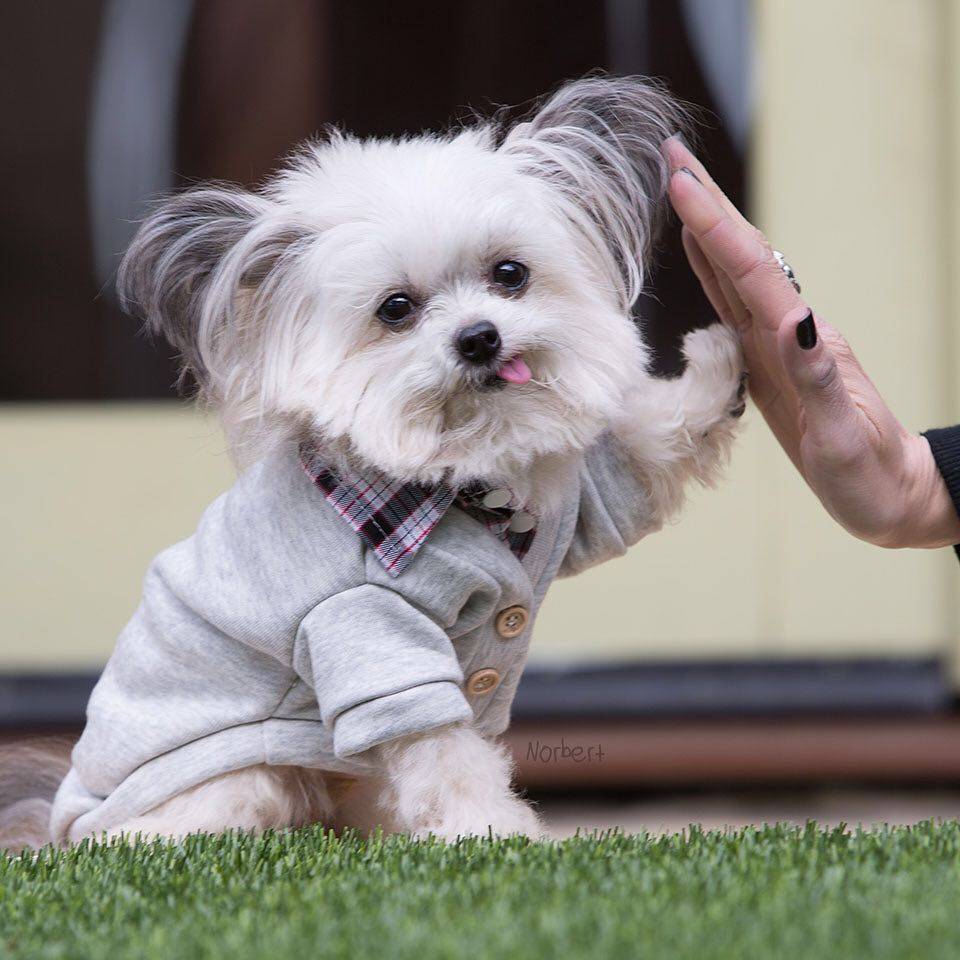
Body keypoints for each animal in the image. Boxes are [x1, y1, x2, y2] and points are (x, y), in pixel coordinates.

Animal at [0, 79, 748, 852]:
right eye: (396, 309)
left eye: (510, 274)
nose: (479, 337)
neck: (450, 484)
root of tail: (58, 823)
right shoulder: (367, 635)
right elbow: (445, 756)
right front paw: (490, 834)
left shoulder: (579, 509)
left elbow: (644, 447)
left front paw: (725, 358)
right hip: (234, 782)